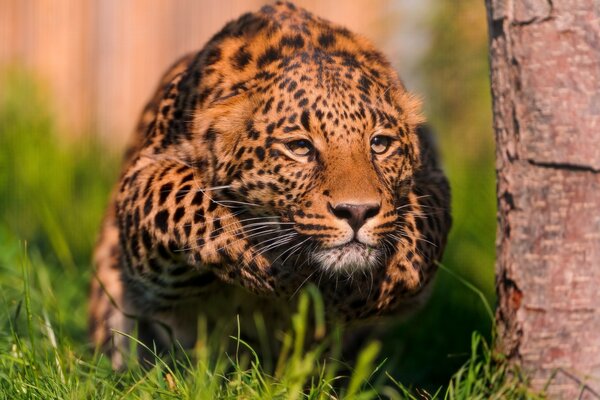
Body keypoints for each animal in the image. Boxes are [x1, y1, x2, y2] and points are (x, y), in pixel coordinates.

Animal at [89, 1, 450, 368]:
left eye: (380, 144)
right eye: (300, 148)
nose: (357, 212)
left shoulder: (433, 176)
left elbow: (423, 226)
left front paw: (375, 282)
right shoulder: (141, 180)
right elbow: (183, 192)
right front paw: (269, 266)